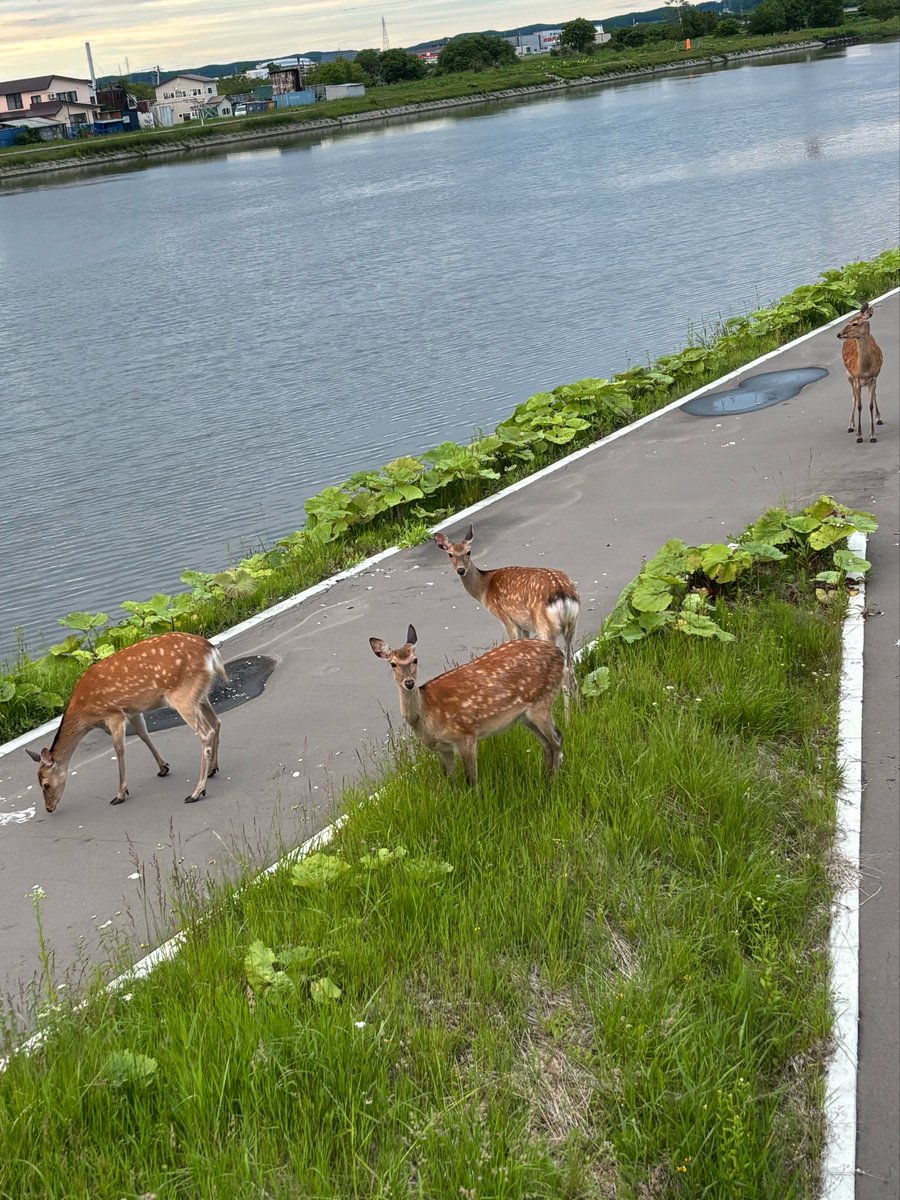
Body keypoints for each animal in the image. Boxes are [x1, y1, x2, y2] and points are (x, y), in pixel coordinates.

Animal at [25, 632, 228, 812]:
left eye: (45, 784)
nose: (49, 808)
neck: (86, 714)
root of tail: (211, 652)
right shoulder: (132, 710)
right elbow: (144, 734)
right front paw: (163, 767)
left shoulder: (113, 713)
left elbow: (119, 749)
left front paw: (120, 794)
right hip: (199, 694)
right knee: (216, 722)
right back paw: (212, 769)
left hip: (183, 696)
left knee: (206, 732)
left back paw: (196, 792)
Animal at [369, 624, 564, 786]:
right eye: (393, 664)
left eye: (415, 660)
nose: (409, 682)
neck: (426, 713)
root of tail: (560, 653)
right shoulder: (443, 748)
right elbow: (450, 781)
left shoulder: (466, 735)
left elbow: (471, 780)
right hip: (525, 715)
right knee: (547, 743)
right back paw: (546, 779)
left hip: (542, 701)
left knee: (556, 739)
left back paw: (552, 783)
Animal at [433, 524, 580, 718]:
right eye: (450, 554)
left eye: (468, 551)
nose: (461, 570)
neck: (484, 590)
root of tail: (562, 593)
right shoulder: (523, 624)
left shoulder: (507, 618)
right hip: (571, 626)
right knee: (571, 665)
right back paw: (581, 709)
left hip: (546, 627)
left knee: (564, 668)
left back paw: (567, 718)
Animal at [837, 302, 884, 444]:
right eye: (848, 320)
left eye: (855, 323)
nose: (839, 334)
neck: (864, 370)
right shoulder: (856, 379)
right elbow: (859, 405)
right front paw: (859, 436)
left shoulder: (873, 378)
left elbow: (870, 405)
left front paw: (872, 435)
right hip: (848, 375)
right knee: (853, 398)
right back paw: (850, 425)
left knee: (874, 396)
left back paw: (879, 418)